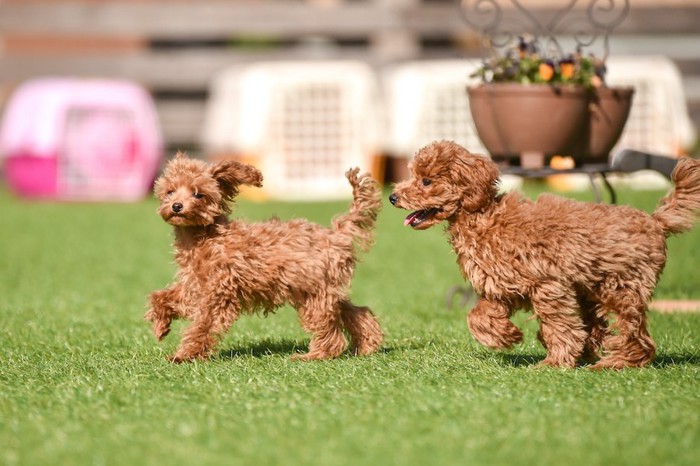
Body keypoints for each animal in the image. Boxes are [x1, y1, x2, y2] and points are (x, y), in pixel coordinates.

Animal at [144, 153, 380, 364]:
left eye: (198, 194)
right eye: (170, 191)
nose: (176, 206)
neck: (207, 237)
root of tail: (337, 232)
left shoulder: (218, 293)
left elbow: (202, 325)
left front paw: (184, 355)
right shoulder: (195, 286)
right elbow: (162, 296)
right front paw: (161, 325)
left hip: (315, 293)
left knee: (330, 330)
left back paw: (315, 355)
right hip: (322, 288)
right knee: (356, 312)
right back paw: (367, 345)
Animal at [392, 140, 700, 370]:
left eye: (426, 181)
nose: (393, 197)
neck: (483, 217)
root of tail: (656, 221)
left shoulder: (548, 285)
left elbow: (560, 325)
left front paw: (553, 363)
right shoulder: (500, 286)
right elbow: (477, 316)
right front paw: (507, 336)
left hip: (622, 286)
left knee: (634, 331)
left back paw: (618, 362)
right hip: (592, 289)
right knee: (600, 326)